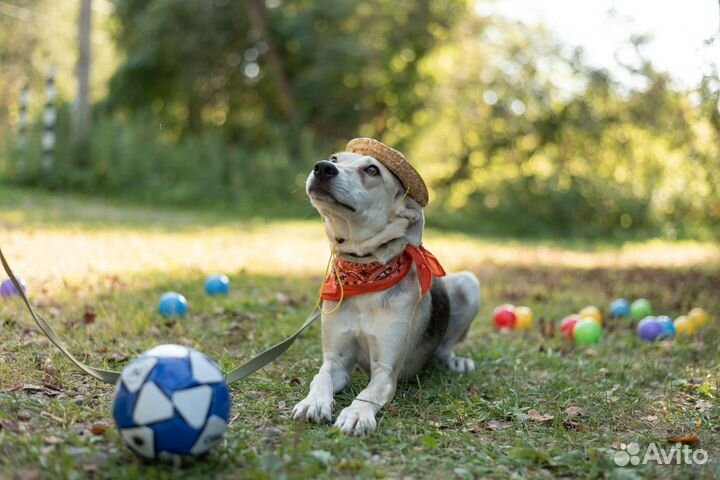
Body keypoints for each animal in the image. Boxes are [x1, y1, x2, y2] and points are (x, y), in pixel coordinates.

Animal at [290, 139, 480, 436]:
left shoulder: (386, 370)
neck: (364, 274)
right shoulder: (336, 361)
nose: (322, 168)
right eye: (334, 158)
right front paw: (313, 402)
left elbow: (366, 394)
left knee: (444, 347)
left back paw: (455, 361)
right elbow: (320, 378)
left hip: (469, 283)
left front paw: (356, 415)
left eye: (372, 170)